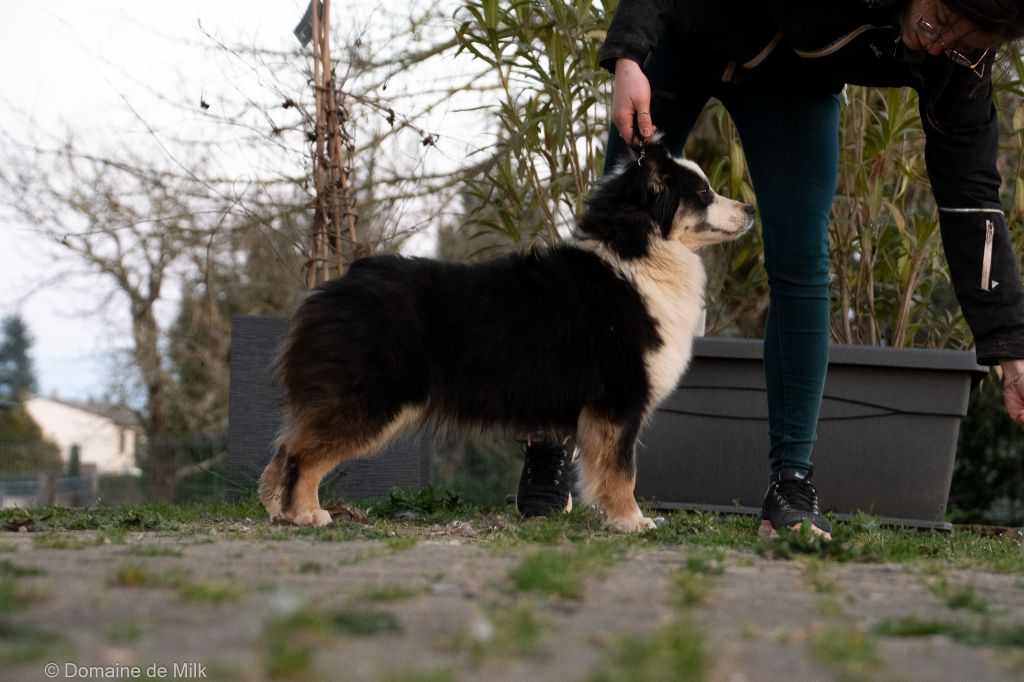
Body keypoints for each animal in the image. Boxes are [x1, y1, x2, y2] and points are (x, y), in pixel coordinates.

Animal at [258, 139, 753, 532]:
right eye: (703, 192)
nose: (750, 209)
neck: (637, 255)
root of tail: (333, 286)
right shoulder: (617, 401)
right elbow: (621, 471)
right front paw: (631, 521)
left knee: (285, 446)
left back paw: (278, 509)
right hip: (371, 398)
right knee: (302, 452)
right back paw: (305, 513)